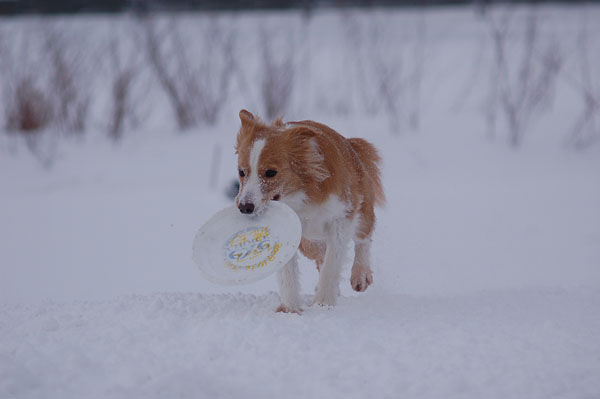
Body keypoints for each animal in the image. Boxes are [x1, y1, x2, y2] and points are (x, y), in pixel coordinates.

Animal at [234, 109, 384, 312]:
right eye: (242, 172)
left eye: (271, 173)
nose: (244, 207)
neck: (299, 196)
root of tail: (350, 144)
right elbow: (288, 271)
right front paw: (290, 308)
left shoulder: (342, 217)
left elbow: (332, 262)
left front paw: (323, 303)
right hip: (309, 243)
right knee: (320, 256)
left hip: (362, 209)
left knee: (363, 238)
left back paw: (360, 276)